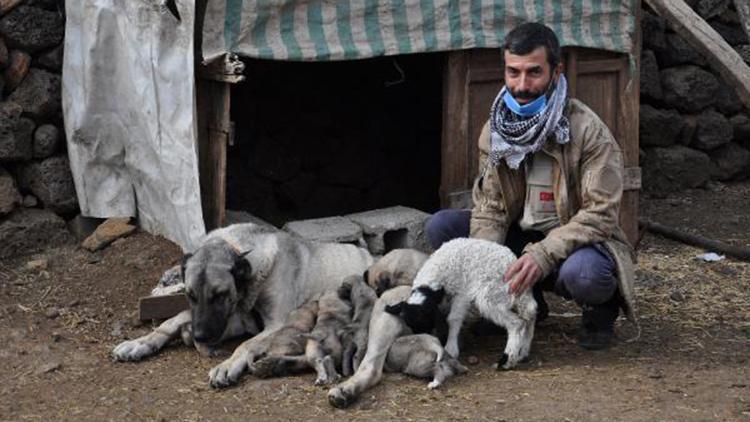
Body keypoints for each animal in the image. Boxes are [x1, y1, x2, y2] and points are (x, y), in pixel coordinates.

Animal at [112, 223, 376, 388]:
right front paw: (140, 343)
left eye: (219, 295)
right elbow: (173, 319)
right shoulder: (235, 319)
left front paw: (227, 365)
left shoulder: (275, 325)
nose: (200, 336)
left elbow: (245, 345)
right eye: (191, 295)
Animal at [384, 237, 536, 370]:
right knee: (530, 314)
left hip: (491, 293)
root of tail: (512, 262)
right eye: (411, 325)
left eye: (424, 320)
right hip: (516, 294)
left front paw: (451, 348)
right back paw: (522, 353)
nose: (423, 338)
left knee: (517, 323)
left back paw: (507, 361)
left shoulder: (462, 293)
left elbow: (453, 319)